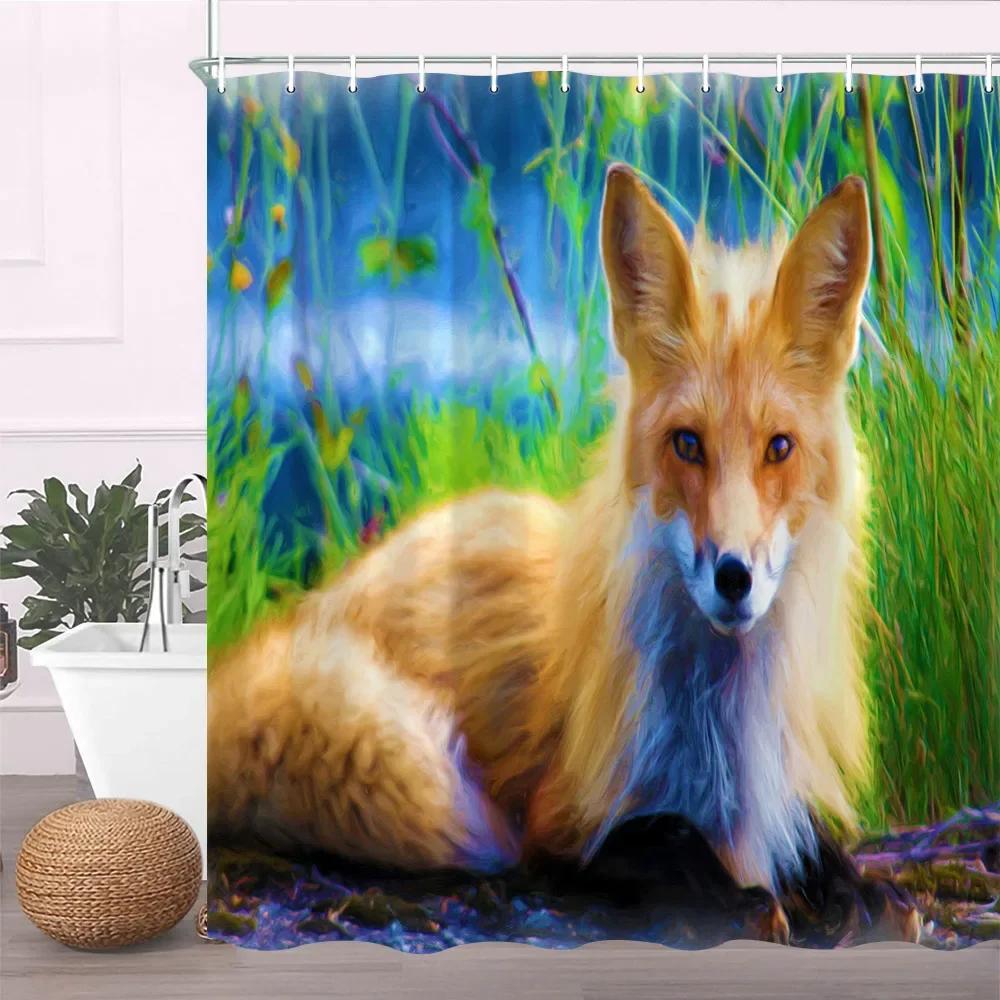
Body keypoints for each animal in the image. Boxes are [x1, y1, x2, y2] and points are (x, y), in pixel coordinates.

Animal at [209, 165, 919, 943]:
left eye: (779, 448)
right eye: (687, 444)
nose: (733, 577)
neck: (723, 732)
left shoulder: (784, 789)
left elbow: (819, 844)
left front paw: (857, 889)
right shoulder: (562, 821)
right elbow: (660, 838)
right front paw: (744, 898)